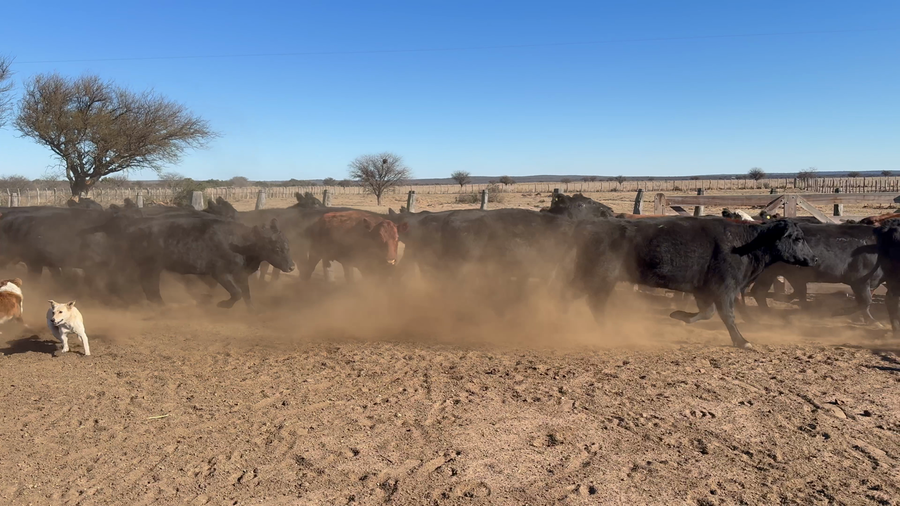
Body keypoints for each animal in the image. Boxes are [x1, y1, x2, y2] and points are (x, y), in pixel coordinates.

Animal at [569, 216, 818, 348]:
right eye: (797, 238)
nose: (814, 259)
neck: (743, 244)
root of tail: (588, 226)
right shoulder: (724, 289)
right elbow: (728, 316)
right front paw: (742, 341)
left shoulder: (703, 291)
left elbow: (706, 313)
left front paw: (679, 315)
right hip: (599, 278)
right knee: (593, 304)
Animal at [747, 223, 883, 323]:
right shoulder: (859, 281)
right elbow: (866, 301)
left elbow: (864, 302)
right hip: (782, 274)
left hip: (771, 274)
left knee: (760, 291)